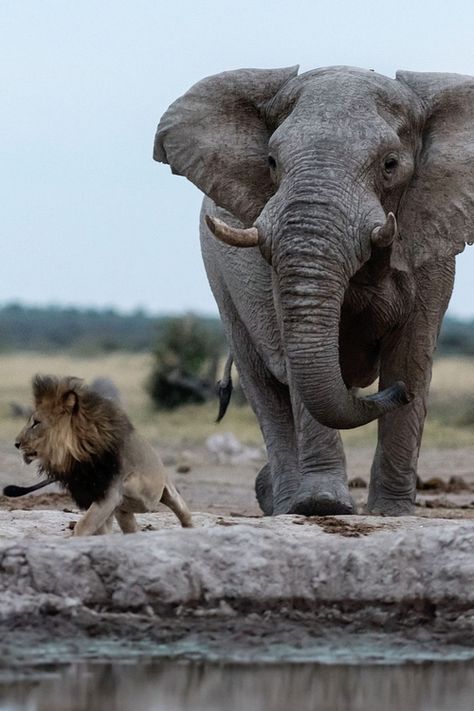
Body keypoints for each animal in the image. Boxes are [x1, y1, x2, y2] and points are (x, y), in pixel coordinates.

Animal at [12, 376, 193, 536]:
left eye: (36, 423)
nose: (16, 443)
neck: (77, 457)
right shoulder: (94, 496)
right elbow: (99, 528)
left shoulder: (109, 494)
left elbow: (84, 525)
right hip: (124, 513)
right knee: (131, 528)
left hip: (167, 491)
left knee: (183, 511)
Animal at [154, 64, 472, 516]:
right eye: (271, 161)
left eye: (390, 164)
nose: (395, 394)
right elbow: (294, 348)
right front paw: (323, 506)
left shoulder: (430, 240)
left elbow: (411, 355)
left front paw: (391, 513)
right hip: (218, 272)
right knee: (263, 383)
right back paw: (284, 503)